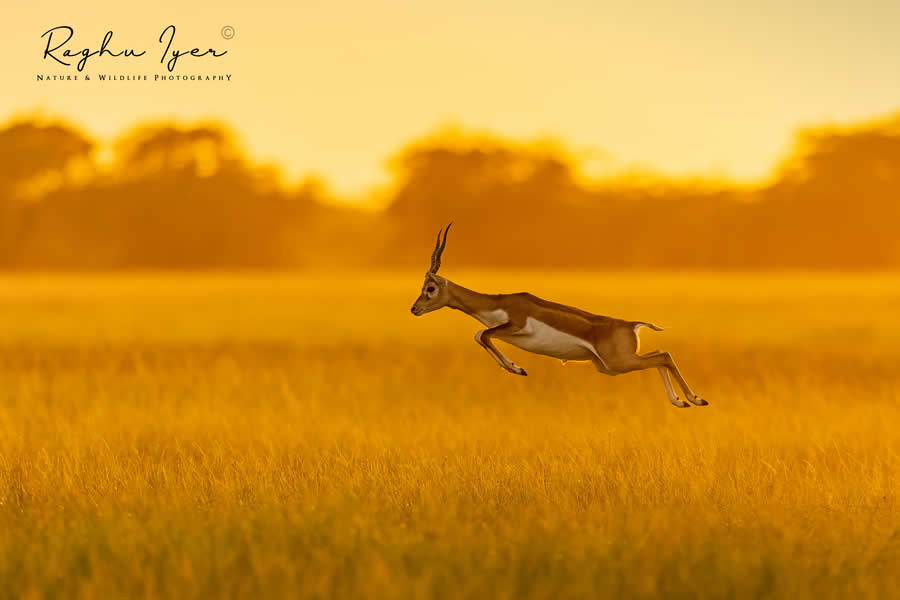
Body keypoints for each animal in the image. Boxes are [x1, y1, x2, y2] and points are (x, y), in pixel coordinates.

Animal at [410, 224, 708, 408]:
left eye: (430, 288)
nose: (414, 309)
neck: (498, 303)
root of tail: (632, 325)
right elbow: (479, 334)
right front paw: (515, 368)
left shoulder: (515, 325)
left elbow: (481, 333)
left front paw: (517, 368)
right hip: (609, 366)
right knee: (659, 354)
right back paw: (680, 402)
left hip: (619, 362)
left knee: (664, 355)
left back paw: (696, 399)